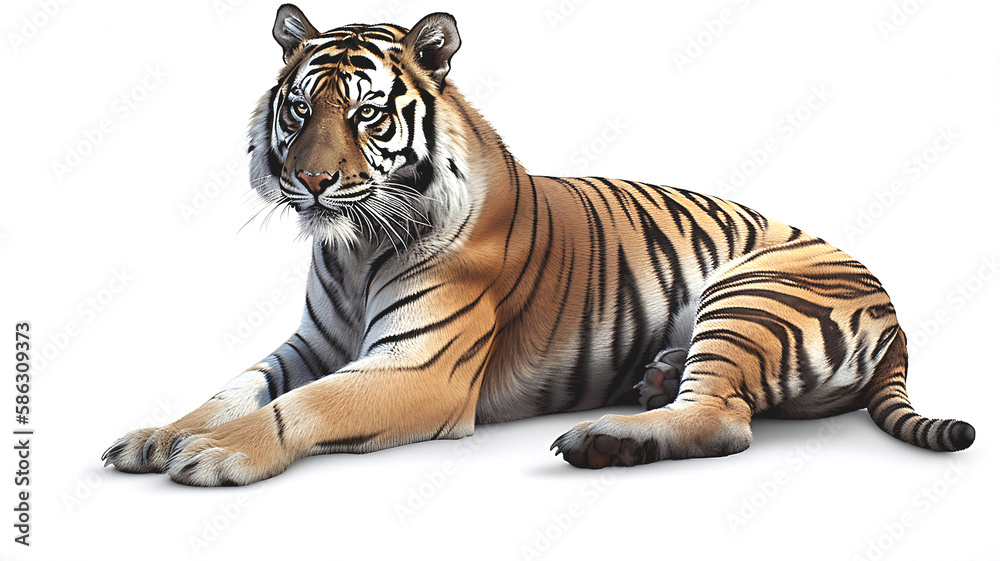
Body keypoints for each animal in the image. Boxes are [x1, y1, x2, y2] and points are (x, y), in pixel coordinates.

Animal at [103, 5, 975, 486]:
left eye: (365, 114)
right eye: (299, 109)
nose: (310, 181)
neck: (351, 248)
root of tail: (895, 310)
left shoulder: (420, 367)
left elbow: (301, 405)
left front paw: (214, 453)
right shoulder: (311, 342)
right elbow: (235, 387)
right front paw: (160, 433)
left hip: (751, 290)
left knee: (726, 416)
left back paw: (606, 438)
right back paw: (655, 377)